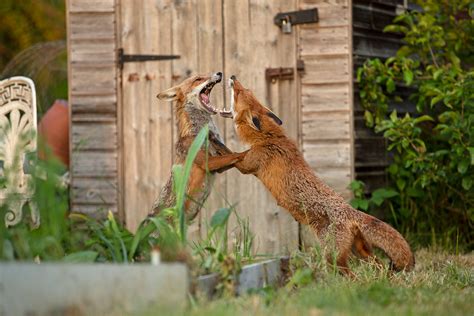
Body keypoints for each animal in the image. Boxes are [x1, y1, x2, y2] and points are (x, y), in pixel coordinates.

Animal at [151, 73, 248, 222]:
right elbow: (236, 154)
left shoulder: (219, 166)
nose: (219, 73)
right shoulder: (207, 163)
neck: (198, 133)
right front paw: (252, 151)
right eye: (198, 79)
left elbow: (231, 154)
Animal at [219, 76, 414, 274]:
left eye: (238, 93)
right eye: (244, 90)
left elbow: (230, 154)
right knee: (378, 269)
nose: (233, 77)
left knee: (351, 275)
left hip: (333, 257)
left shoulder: (248, 165)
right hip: (362, 252)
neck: (269, 137)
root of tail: (350, 210)